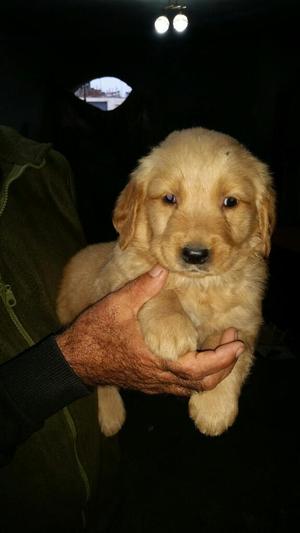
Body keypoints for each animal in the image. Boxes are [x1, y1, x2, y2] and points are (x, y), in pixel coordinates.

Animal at [55, 128, 274, 436]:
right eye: (169, 198)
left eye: (230, 202)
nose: (195, 255)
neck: (197, 286)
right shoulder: (119, 276)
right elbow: (159, 288)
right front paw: (171, 328)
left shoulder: (245, 318)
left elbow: (236, 355)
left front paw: (214, 410)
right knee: (103, 380)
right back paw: (111, 415)